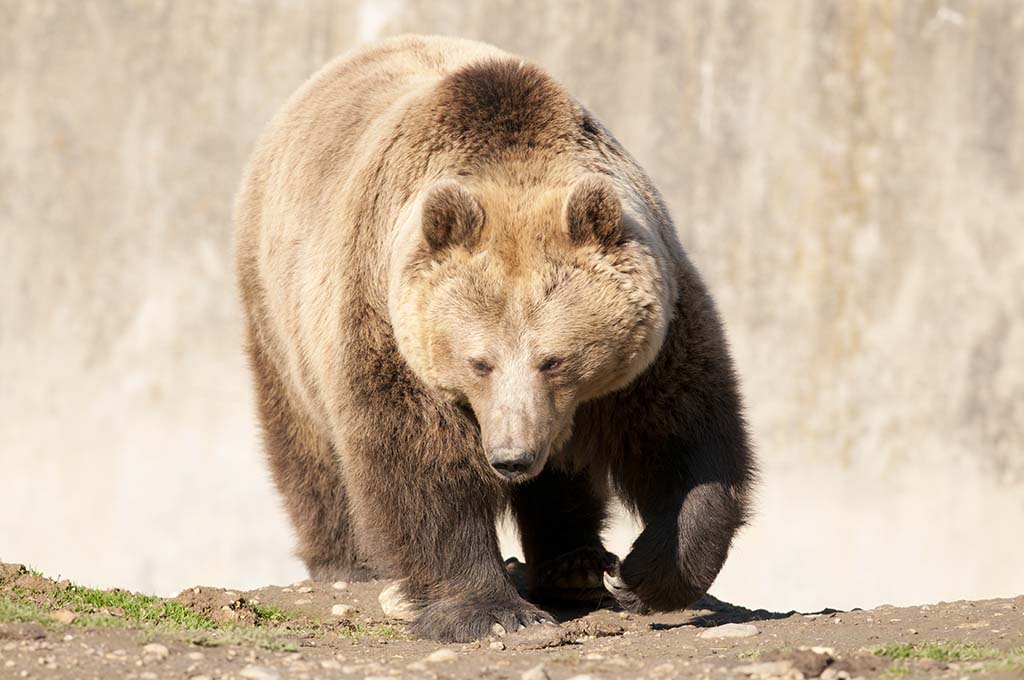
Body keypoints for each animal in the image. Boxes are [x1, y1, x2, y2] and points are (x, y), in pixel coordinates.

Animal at [234, 35, 755, 642]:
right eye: (478, 362)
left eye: (554, 360)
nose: (510, 456)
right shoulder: (392, 327)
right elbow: (421, 464)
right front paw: (494, 610)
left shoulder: (653, 339)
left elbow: (685, 439)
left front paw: (638, 574)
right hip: (280, 308)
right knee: (307, 442)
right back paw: (347, 559)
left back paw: (576, 563)